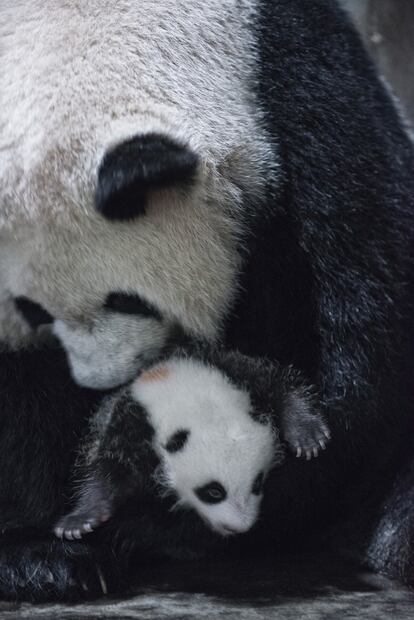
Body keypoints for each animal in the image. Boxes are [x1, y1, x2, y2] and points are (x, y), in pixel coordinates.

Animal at [0, 0, 414, 600]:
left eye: (128, 301)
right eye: (34, 313)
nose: (103, 383)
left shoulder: (297, 80)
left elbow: (359, 314)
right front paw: (47, 554)